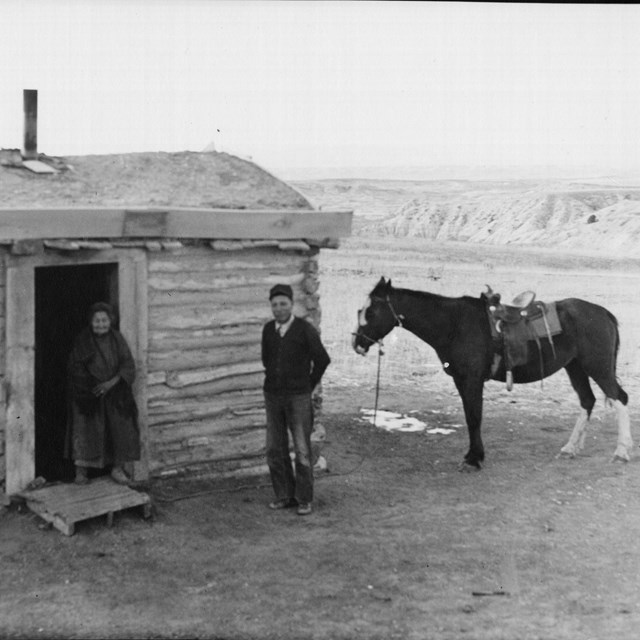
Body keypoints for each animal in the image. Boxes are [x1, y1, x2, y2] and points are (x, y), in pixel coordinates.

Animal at [352, 276, 632, 470]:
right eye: (359, 310)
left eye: (372, 311)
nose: (357, 343)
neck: (454, 324)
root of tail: (604, 313)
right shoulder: (461, 381)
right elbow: (469, 417)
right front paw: (472, 455)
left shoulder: (473, 380)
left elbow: (475, 417)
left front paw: (474, 459)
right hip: (575, 367)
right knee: (587, 400)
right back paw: (570, 448)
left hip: (598, 367)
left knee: (619, 398)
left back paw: (621, 452)